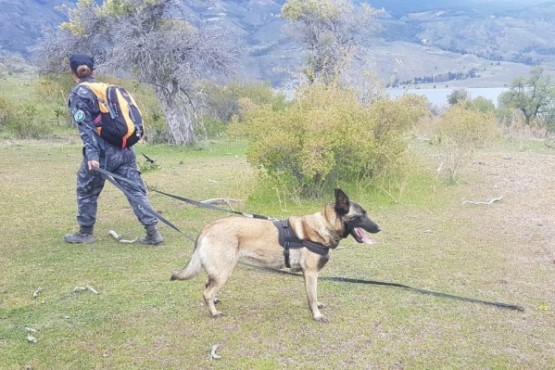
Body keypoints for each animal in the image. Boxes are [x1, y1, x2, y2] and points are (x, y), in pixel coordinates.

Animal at [172, 188, 380, 320]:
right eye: (360, 216)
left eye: (365, 214)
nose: (379, 228)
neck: (324, 226)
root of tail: (207, 227)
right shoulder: (311, 273)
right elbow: (312, 297)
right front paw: (317, 315)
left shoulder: (309, 275)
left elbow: (312, 296)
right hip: (225, 271)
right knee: (206, 291)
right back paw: (214, 312)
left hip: (219, 271)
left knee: (208, 285)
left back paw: (214, 301)